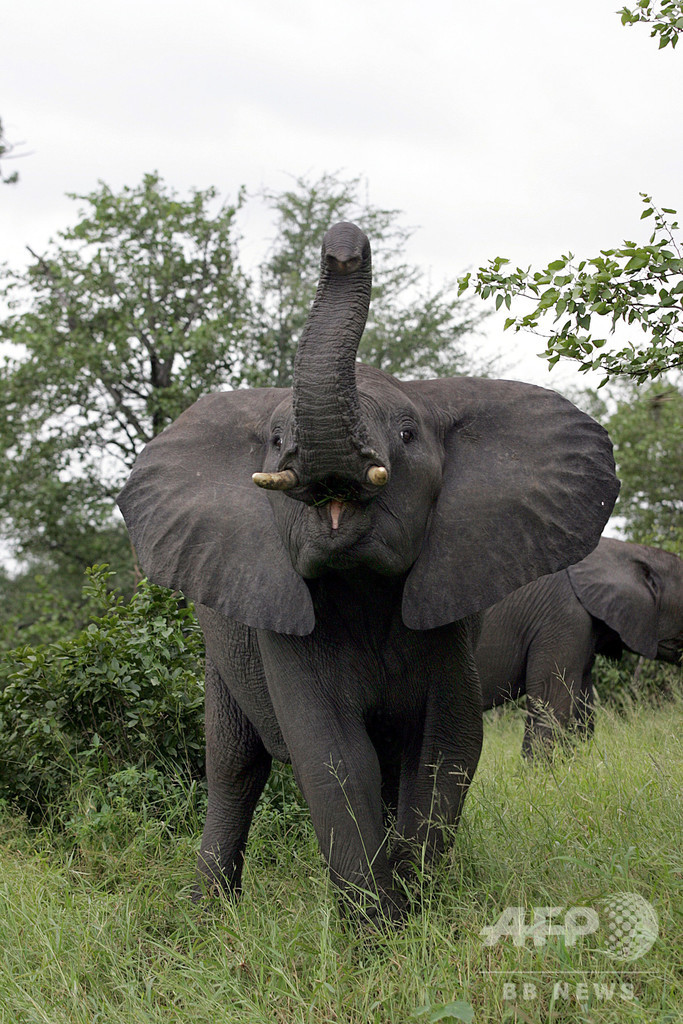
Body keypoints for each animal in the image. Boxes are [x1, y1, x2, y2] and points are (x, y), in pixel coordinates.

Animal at [117, 218, 618, 921]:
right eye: (276, 441)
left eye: (408, 434)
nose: (343, 244)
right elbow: (331, 754)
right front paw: (378, 928)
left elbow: (444, 744)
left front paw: (417, 911)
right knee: (234, 768)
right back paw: (209, 919)